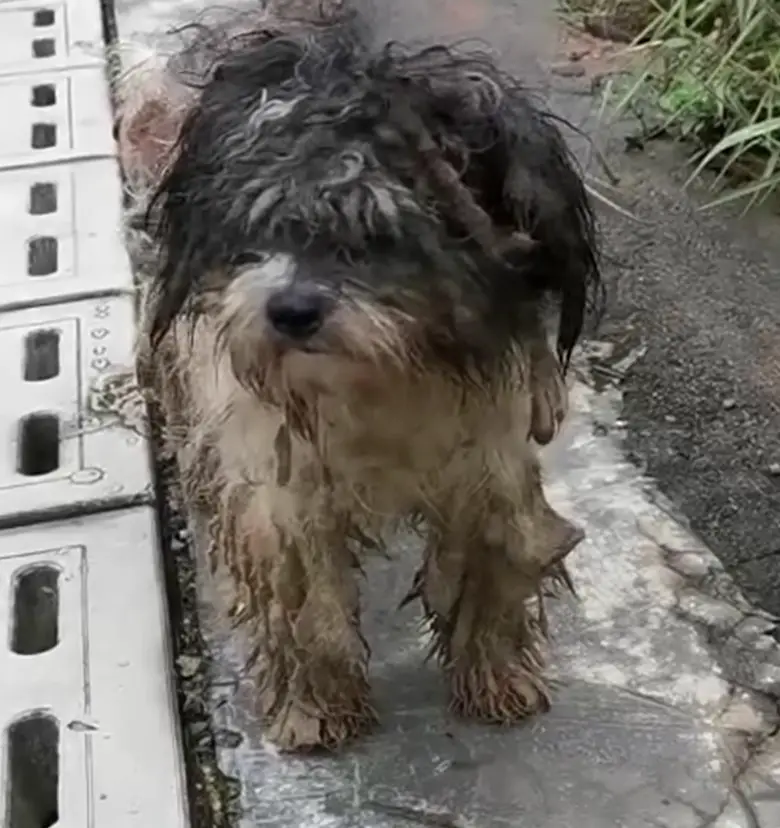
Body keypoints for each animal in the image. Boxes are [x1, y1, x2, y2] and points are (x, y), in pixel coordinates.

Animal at [117, 0, 604, 752]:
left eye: (382, 231)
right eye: (260, 224)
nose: (289, 311)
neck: (385, 381)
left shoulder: (491, 462)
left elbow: (494, 568)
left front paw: (496, 679)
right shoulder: (278, 485)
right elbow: (302, 604)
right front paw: (315, 708)